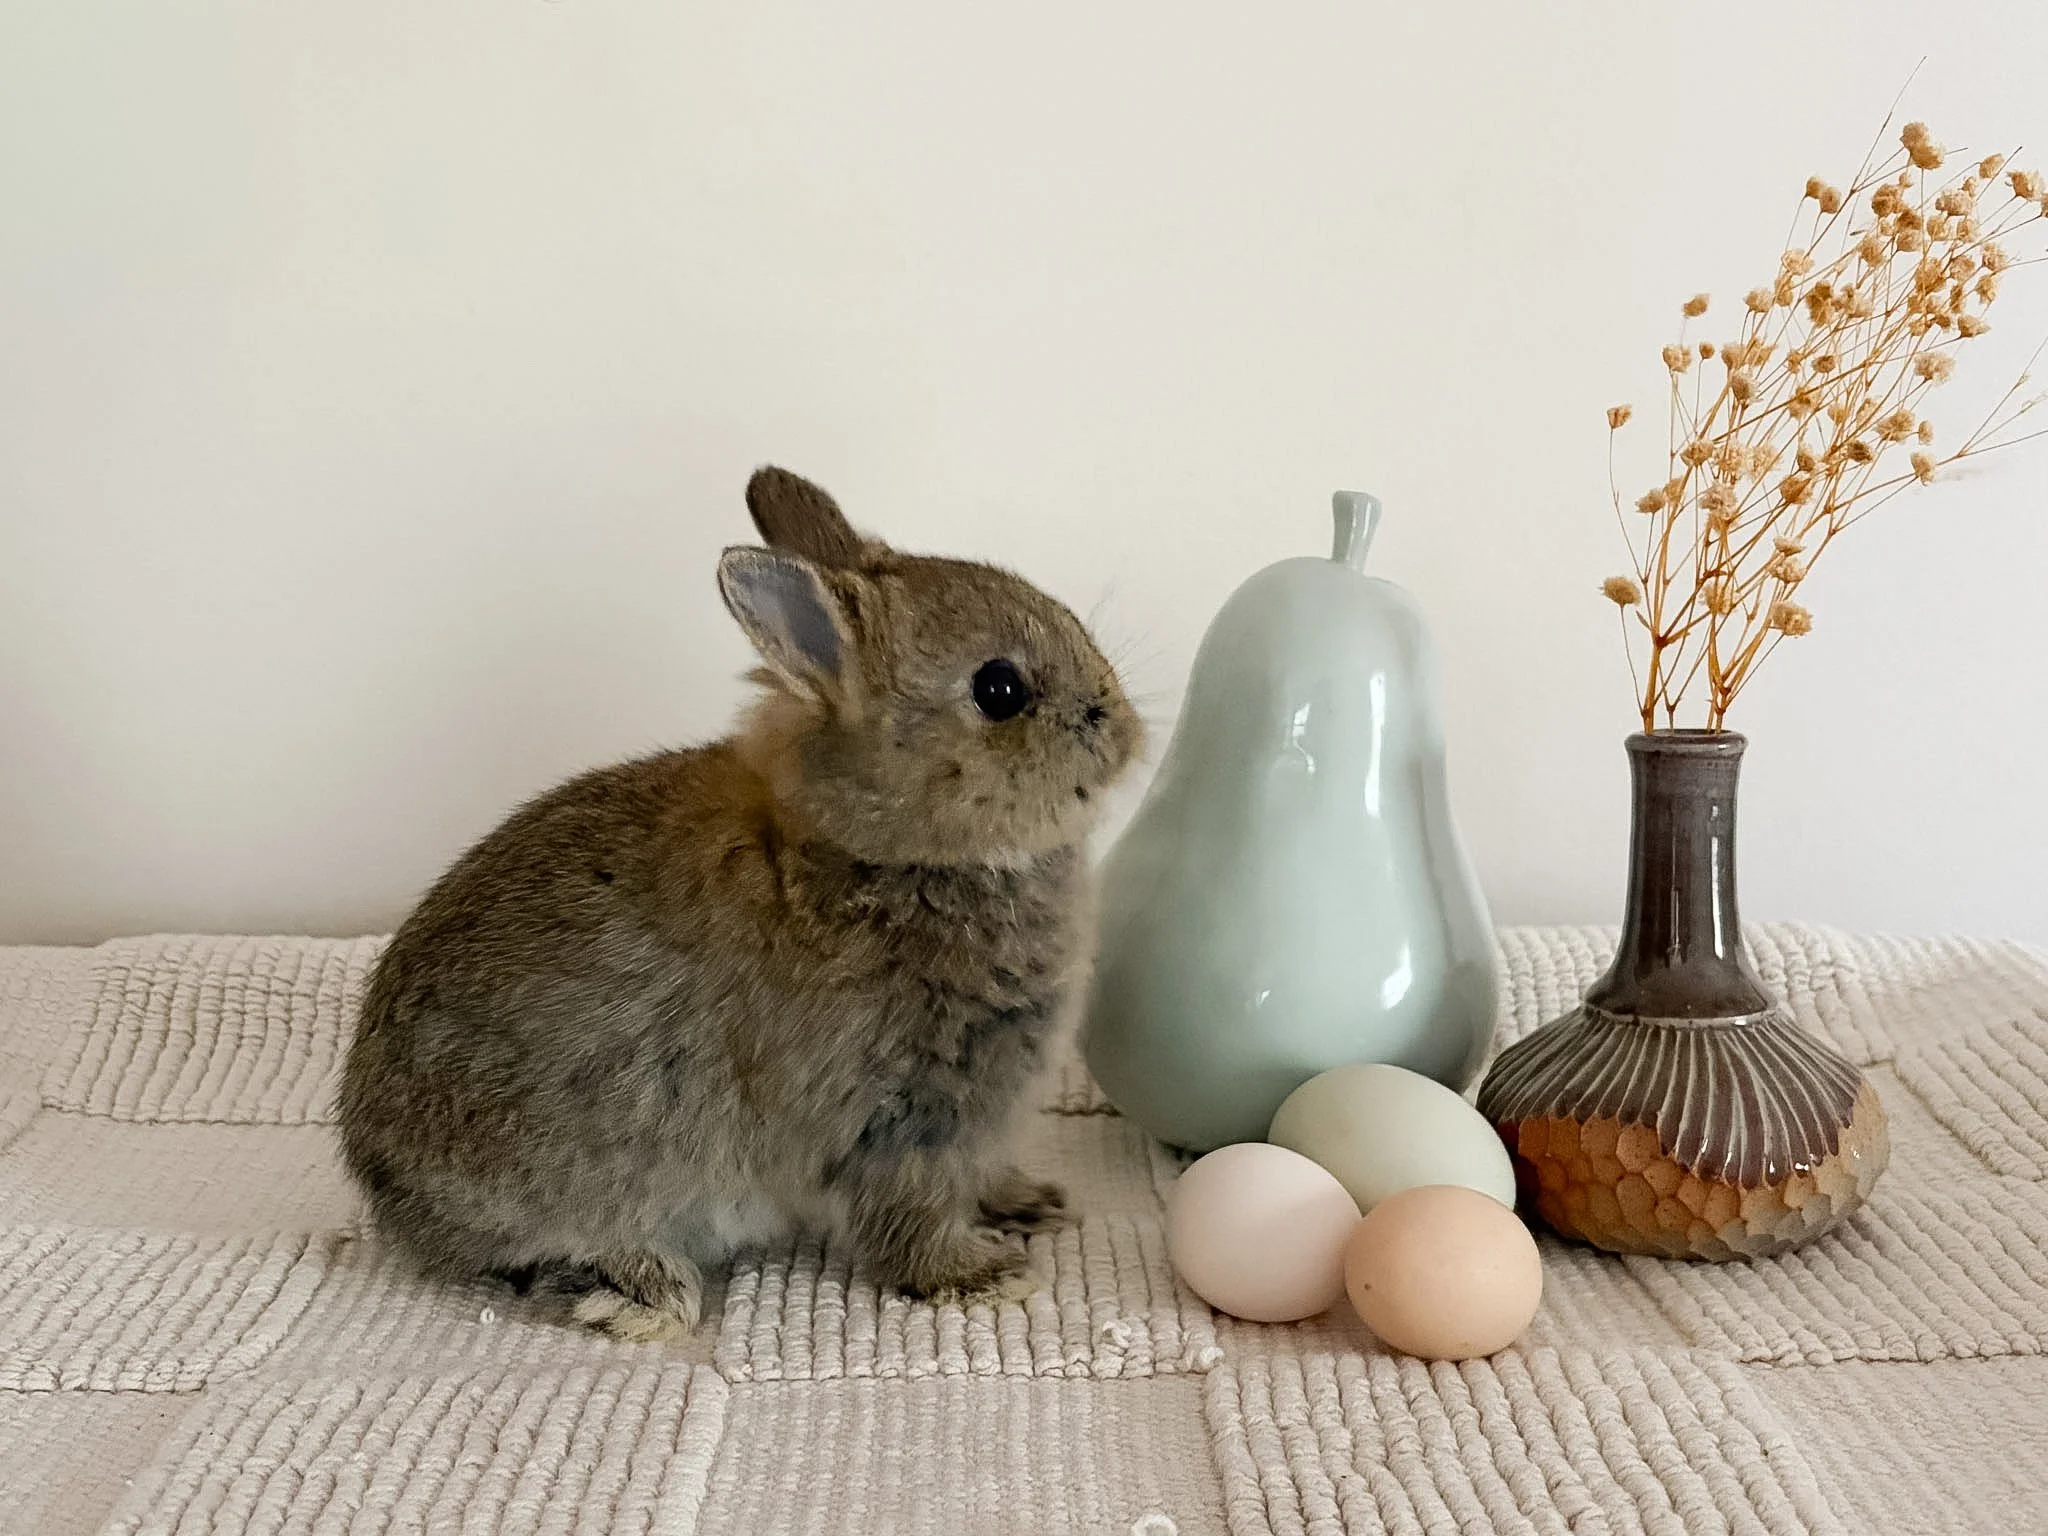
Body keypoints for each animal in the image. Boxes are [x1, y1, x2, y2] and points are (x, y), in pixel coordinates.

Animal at [336, 467, 1145, 1341]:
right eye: (999, 688)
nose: (1126, 733)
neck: (881, 854)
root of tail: (382, 1180)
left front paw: (1028, 1205)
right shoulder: (893, 1120)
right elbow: (912, 1216)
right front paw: (981, 1277)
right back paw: (646, 1296)